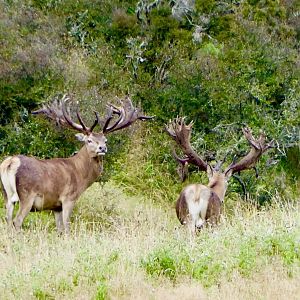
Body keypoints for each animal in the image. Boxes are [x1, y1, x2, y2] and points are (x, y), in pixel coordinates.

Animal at [1, 95, 152, 232]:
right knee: (16, 221)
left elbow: (59, 229)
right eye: (89, 140)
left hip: (7, 196)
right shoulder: (69, 197)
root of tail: (11, 162)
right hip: (27, 195)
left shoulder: (56, 206)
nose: (102, 148)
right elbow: (67, 227)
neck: (80, 174)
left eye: (105, 140)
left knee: (7, 219)